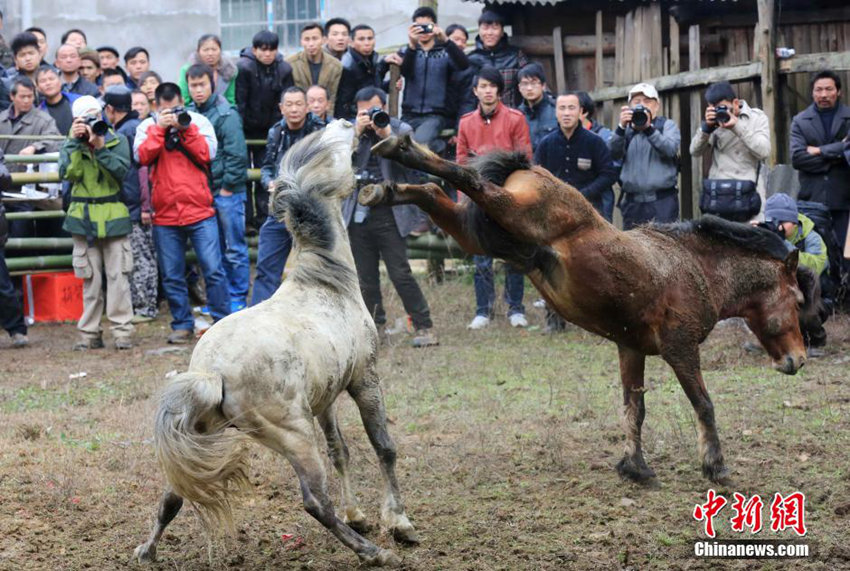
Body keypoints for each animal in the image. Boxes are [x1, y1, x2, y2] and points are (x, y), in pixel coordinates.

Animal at [132, 120, 418, 568]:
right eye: (335, 147)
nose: (350, 122)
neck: (327, 282)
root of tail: (211, 373)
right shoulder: (365, 380)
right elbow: (383, 447)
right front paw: (399, 523)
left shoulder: (326, 399)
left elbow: (341, 450)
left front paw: (358, 514)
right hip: (294, 435)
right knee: (314, 501)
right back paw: (372, 553)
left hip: (200, 434)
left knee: (171, 496)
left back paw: (147, 550)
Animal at [360, 135, 808, 488]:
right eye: (799, 301)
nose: (799, 360)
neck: (693, 267)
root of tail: (528, 167)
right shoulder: (680, 348)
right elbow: (704, 403)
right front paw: (715, 466)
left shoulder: (631, 349)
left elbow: (634, 409)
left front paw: (635, 466)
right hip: (511, 213)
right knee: (467, 180)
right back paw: (399, 148)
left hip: (480, 235)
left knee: (437, 194)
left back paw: (383, 190)